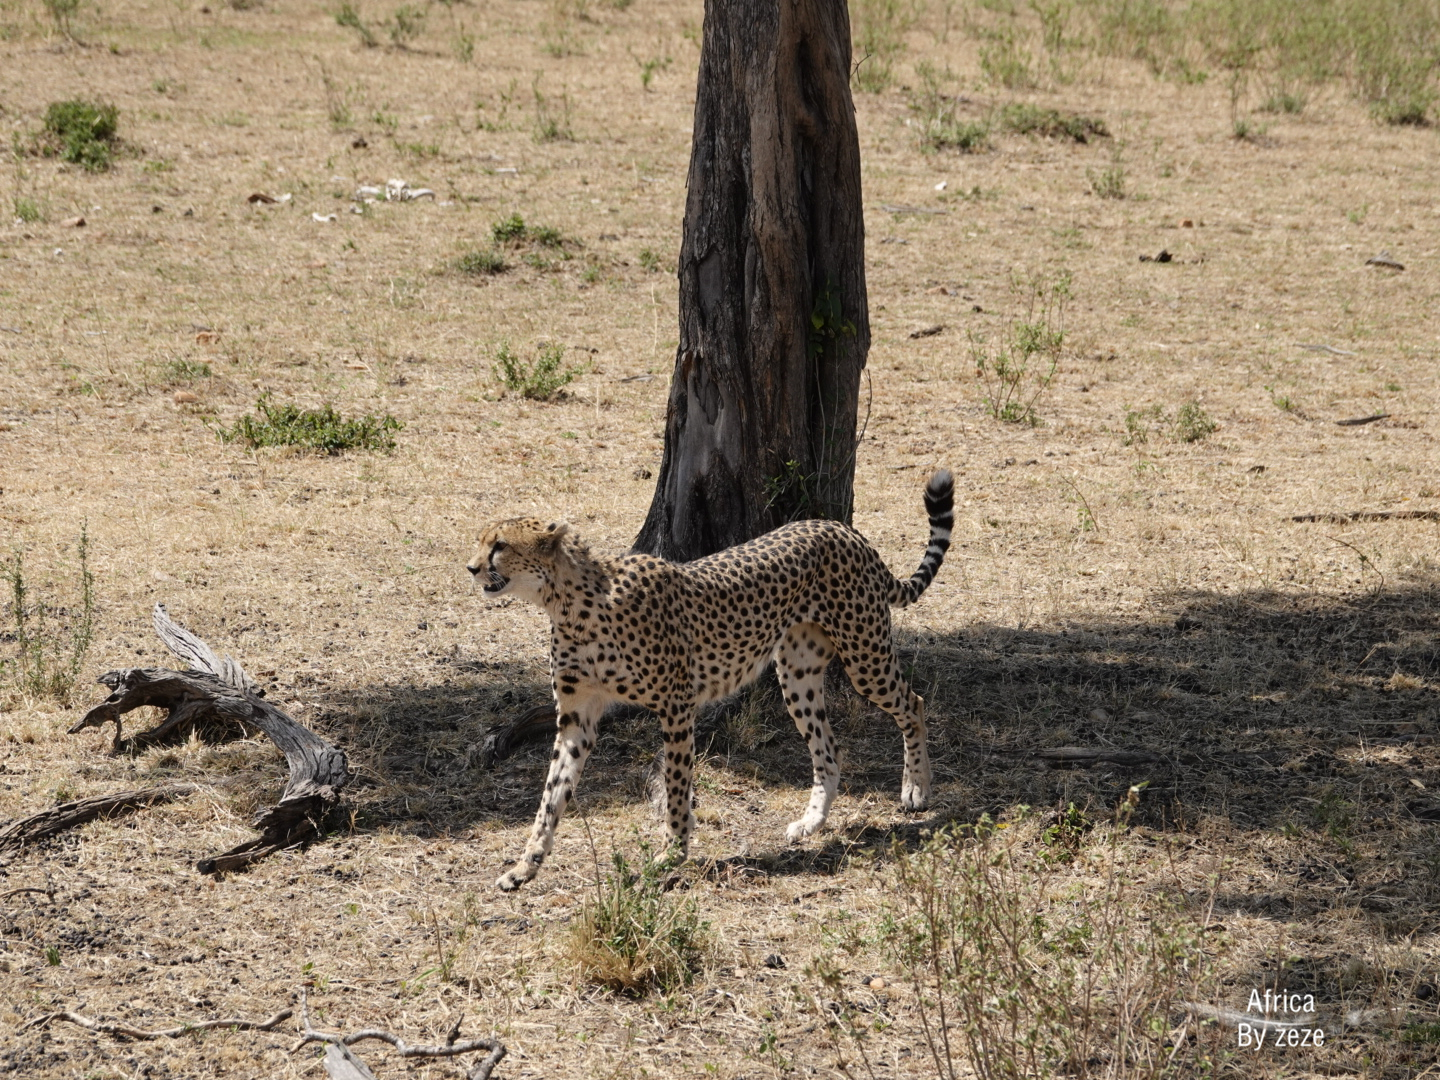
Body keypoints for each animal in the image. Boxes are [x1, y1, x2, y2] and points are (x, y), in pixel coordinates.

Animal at [472, 469, 956, 892]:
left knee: (913, 703)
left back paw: (916, 788)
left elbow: (676, 786)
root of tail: (840, 528)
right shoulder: (577, 719)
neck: (569, 603)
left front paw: (672, 853)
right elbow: (551, 798)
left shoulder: (676, 704)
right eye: (480, 541)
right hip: (797, 674)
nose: (471, 568)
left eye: (500, 545)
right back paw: (813, 821)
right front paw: (524, 867)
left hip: (864, 656)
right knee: (828, 749)